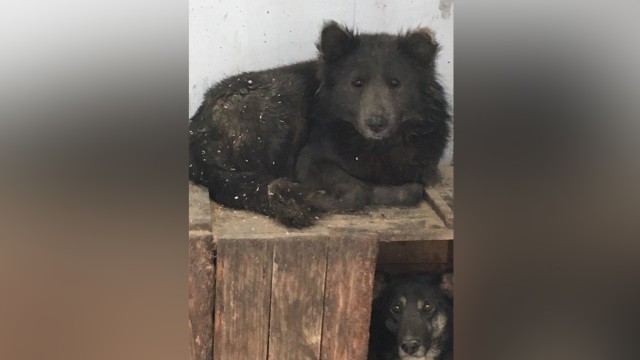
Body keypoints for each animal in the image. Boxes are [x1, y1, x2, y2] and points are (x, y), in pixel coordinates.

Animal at [190, 20, 450, 228]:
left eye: (395, 84)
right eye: (356, 83)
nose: (376, 123)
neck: (376, 147)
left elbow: (412, 190)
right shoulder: (309, 159)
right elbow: (358, 190)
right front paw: (317, 197)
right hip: (283, 103)